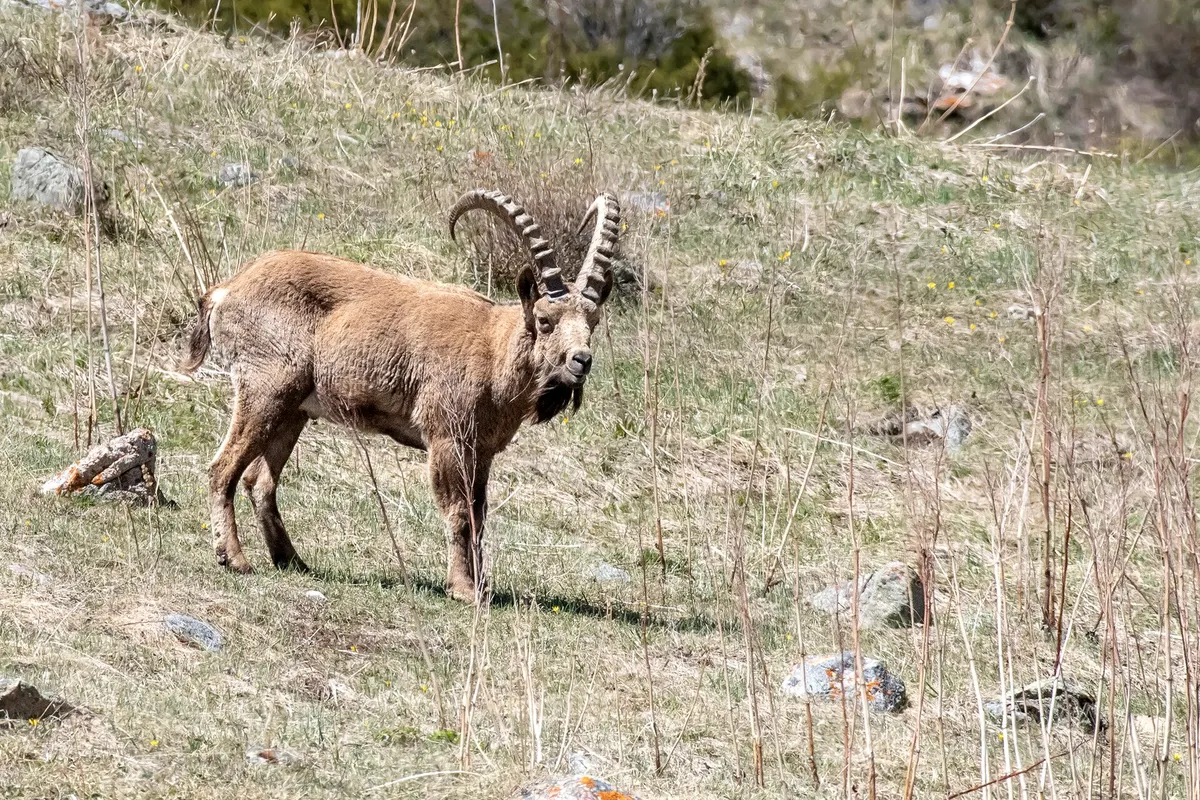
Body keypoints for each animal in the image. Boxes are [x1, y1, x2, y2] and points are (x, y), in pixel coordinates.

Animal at [181, 189, 621, 603]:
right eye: (545, 321)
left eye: (593, 321)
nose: (581, 361)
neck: (494, 352)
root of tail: (226, 290)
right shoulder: (446, 438)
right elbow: (459, 514)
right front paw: (462, 589)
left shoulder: (482, 451)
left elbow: (478, 515)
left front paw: (482, 587)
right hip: (265, 389)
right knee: (222, 469)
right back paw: (234, 558)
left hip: (294, 410)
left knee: (260, 482)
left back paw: (292, 560)